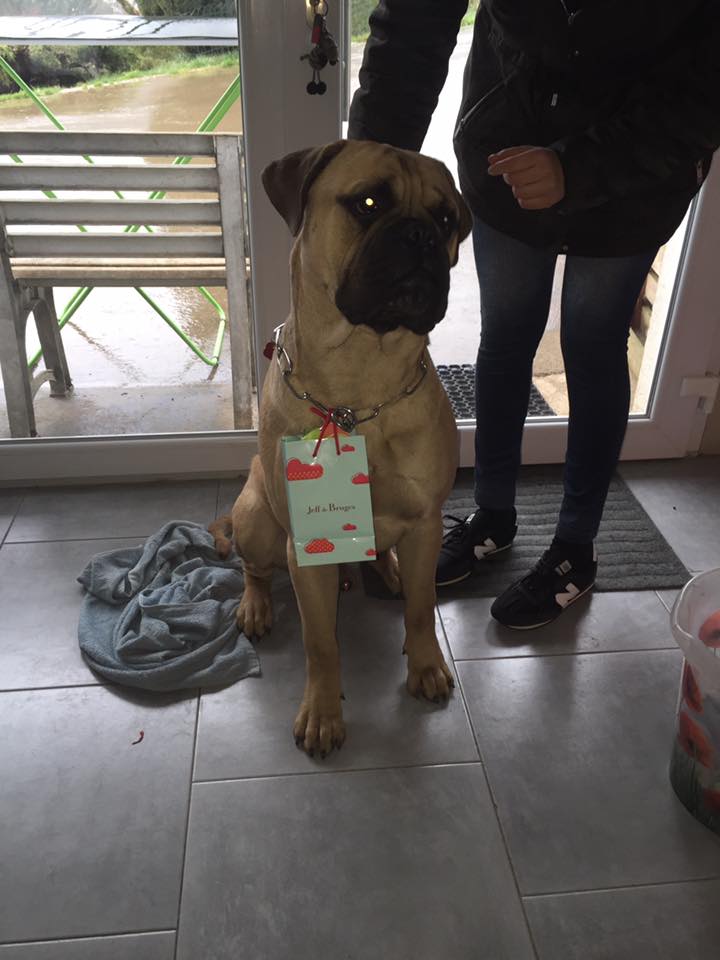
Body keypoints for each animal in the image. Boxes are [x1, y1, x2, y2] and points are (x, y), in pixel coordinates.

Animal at [214, 141, 472, 756]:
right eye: (368, 202)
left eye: (444, 218)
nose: (421, 237)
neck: (360, 390)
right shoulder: (306, 548)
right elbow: (321, 643)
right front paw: (323, 713)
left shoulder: (426, 523)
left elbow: (422, 610)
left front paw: (426, 665)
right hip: (258, 521)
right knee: (252, 568)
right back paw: (255, 605)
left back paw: (388, 571)